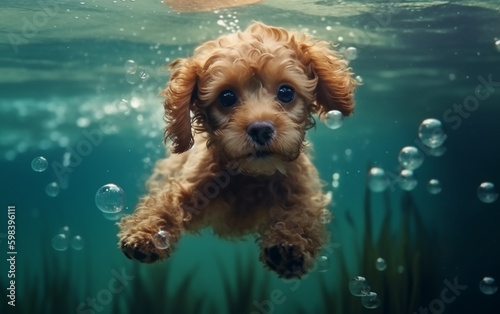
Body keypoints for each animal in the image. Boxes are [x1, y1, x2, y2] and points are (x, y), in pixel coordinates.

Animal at [119, 21, 358, 278]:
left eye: (286, 93)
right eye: (226, 97)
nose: (261, 129)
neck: (250, 176)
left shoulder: (302, 190)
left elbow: (304, 214)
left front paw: (290, 245)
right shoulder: (191, 184)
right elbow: (166, 201)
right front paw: (147, 232)